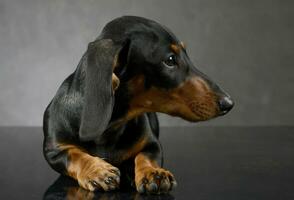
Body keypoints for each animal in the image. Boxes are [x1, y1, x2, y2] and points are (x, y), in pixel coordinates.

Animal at [42, 16, 233, 195]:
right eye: (170, 60)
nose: (228, 103)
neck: (110, 128)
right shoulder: (53, 150)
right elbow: (74, 155)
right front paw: (98, 171)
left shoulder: (152, 144)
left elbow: (146, 156)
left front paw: (154, 173)